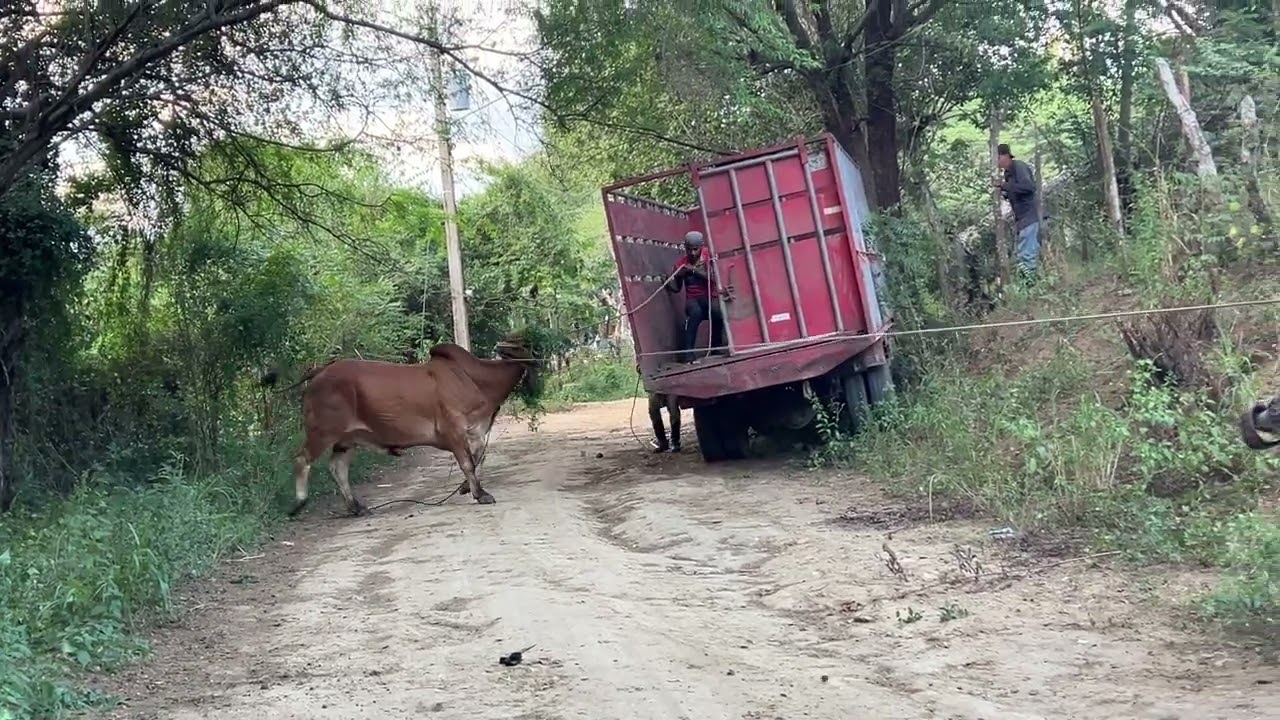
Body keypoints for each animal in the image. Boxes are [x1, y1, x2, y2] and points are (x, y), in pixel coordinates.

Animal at [268, 335, 537, 517]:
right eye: (521, 347)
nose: (535, 359)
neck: (474, 379)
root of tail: (320, 370)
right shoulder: (453, 431)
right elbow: (468, 463)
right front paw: (480, 494)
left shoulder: (476, 432)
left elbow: (478, 457)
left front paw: (464, 489)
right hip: (322, 431)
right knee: (303, 459)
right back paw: (299, 503)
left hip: (347, 439)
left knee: (337, 467)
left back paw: (356, 506)